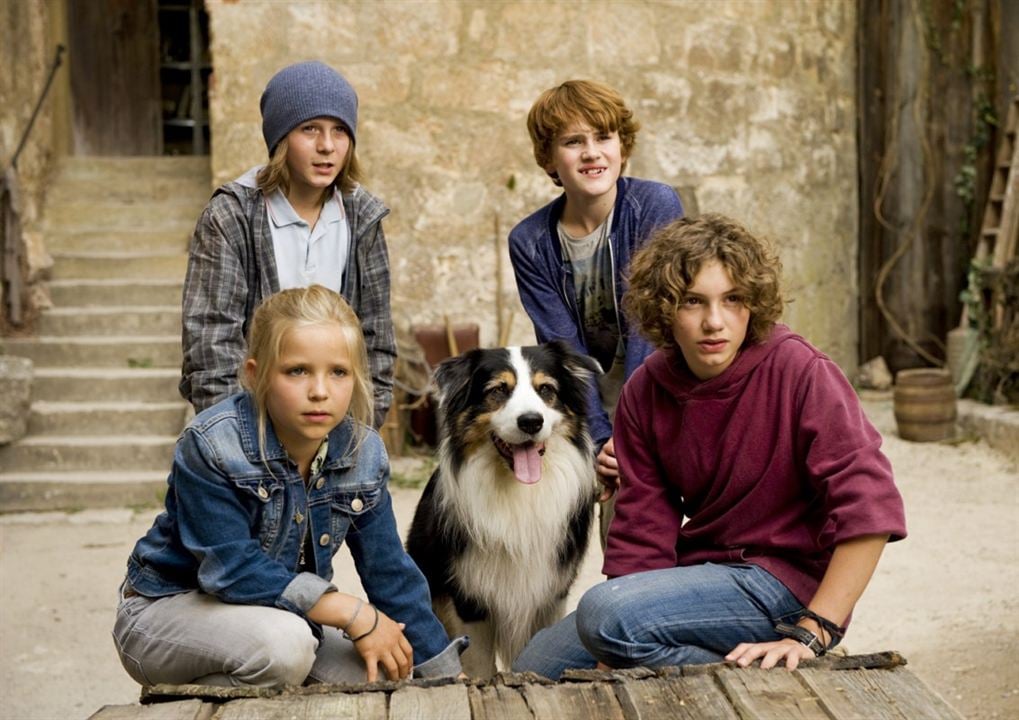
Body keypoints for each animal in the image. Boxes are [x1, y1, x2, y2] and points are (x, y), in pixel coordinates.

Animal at [403, 340, 595, 680]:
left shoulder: (548, 594)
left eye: (546, 389)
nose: (531, 421)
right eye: (498, 390)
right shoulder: (469, 597)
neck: (520, 492)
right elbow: (479, 663)